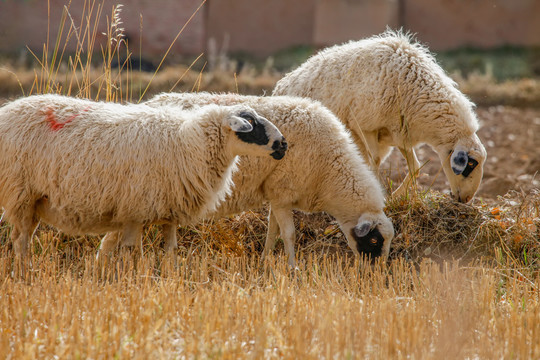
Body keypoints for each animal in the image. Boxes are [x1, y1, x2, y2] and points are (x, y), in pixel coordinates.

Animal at [0, 93, 286, 258]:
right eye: (251, 124)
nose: (283, 144)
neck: (187, 144)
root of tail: (7, 110)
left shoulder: (169, 211)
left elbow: (170, 251)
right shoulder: (134, 210)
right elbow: (132, 252)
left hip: (34, 200)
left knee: (24, 237)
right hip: (20, 193)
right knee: (20, 240)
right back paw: (24, 273)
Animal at [101, 93, 394, 268]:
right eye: (375, 241)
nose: (376, 274)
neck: (330, 171)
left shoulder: (276, 195)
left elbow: (273, 230)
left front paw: (266, 261)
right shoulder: (283, 191)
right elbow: (289, 234)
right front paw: (292, 268)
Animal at [272, 29, 488, 204]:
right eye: (470, 164)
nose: (467, 199)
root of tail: (282, 82)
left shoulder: (399, 133)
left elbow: (415, 167)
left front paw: (399, 197)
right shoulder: (366, 126)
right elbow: (374, 161)